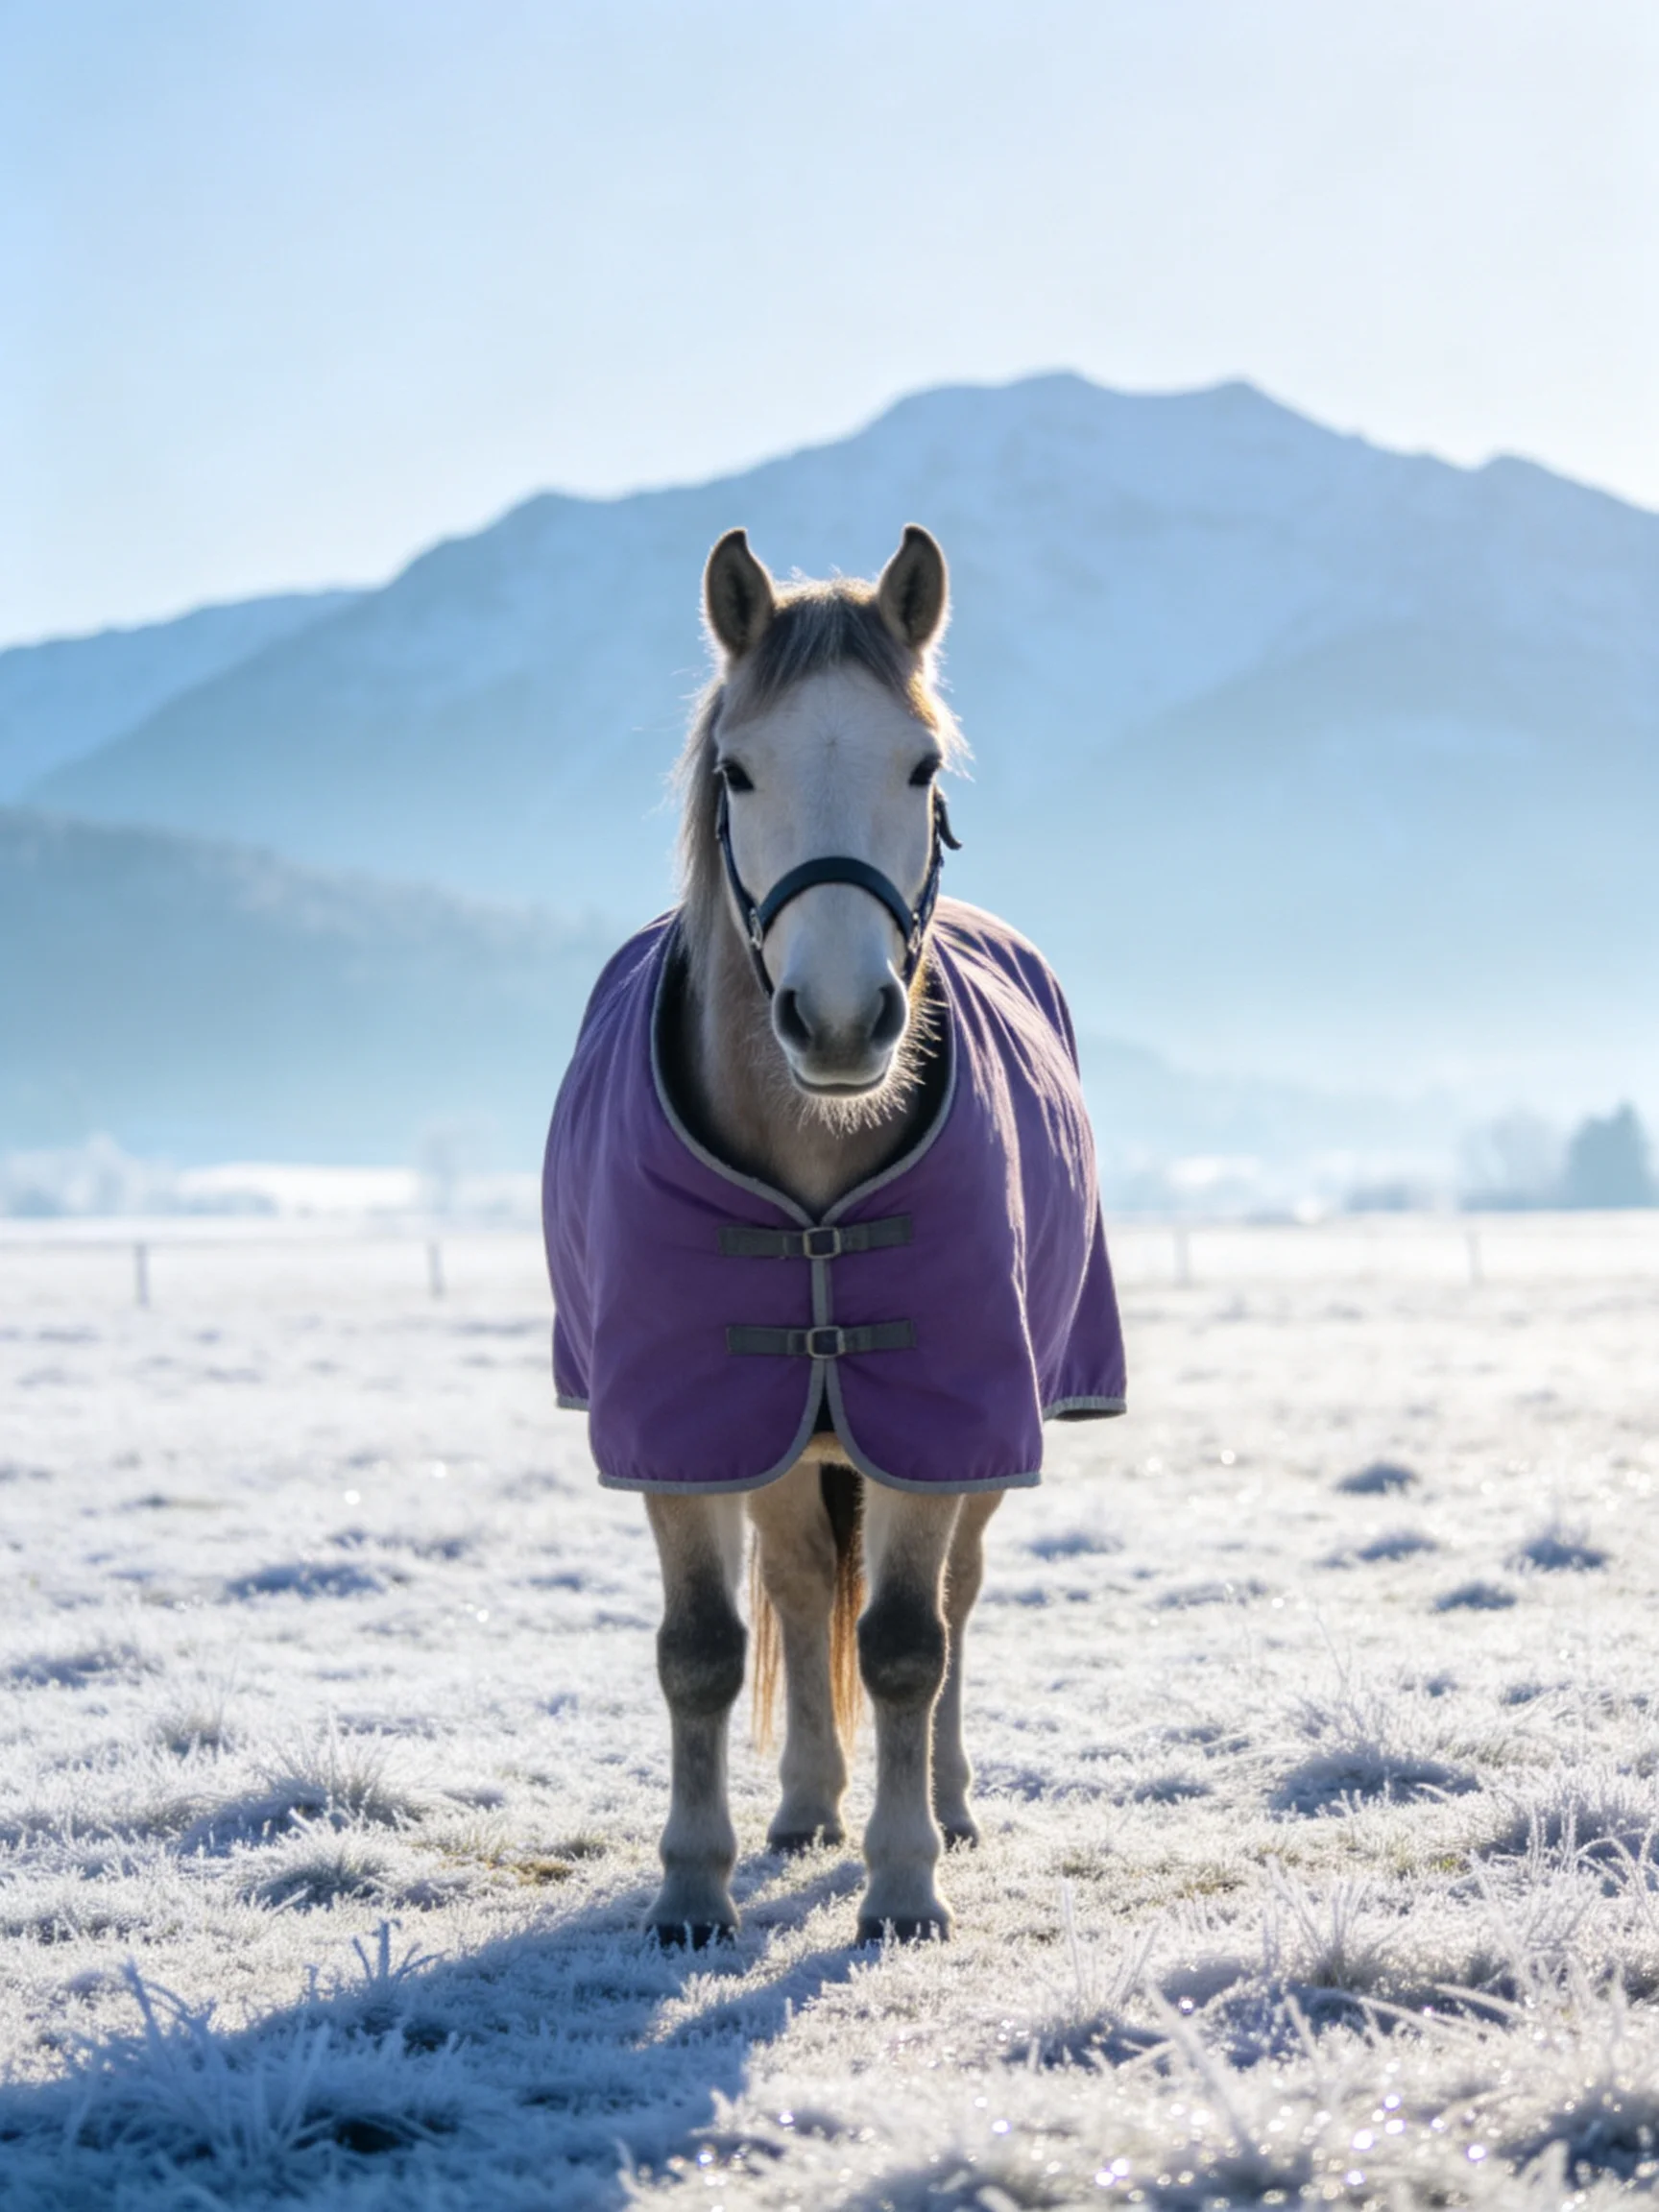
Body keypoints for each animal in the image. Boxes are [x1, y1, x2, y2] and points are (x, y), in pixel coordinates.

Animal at [543, 524, 1125, 1946]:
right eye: (736, 769)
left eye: (920, 767)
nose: (847, 1020)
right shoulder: (685, 1427)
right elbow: (704, 1652)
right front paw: (691, 1890)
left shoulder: (942, 1414)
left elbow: (909, 1644)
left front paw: (904, 1880)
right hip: (782, 1435)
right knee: (806, 1590)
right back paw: (805, 1806)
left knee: (951, 1607)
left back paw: (946, 1806)